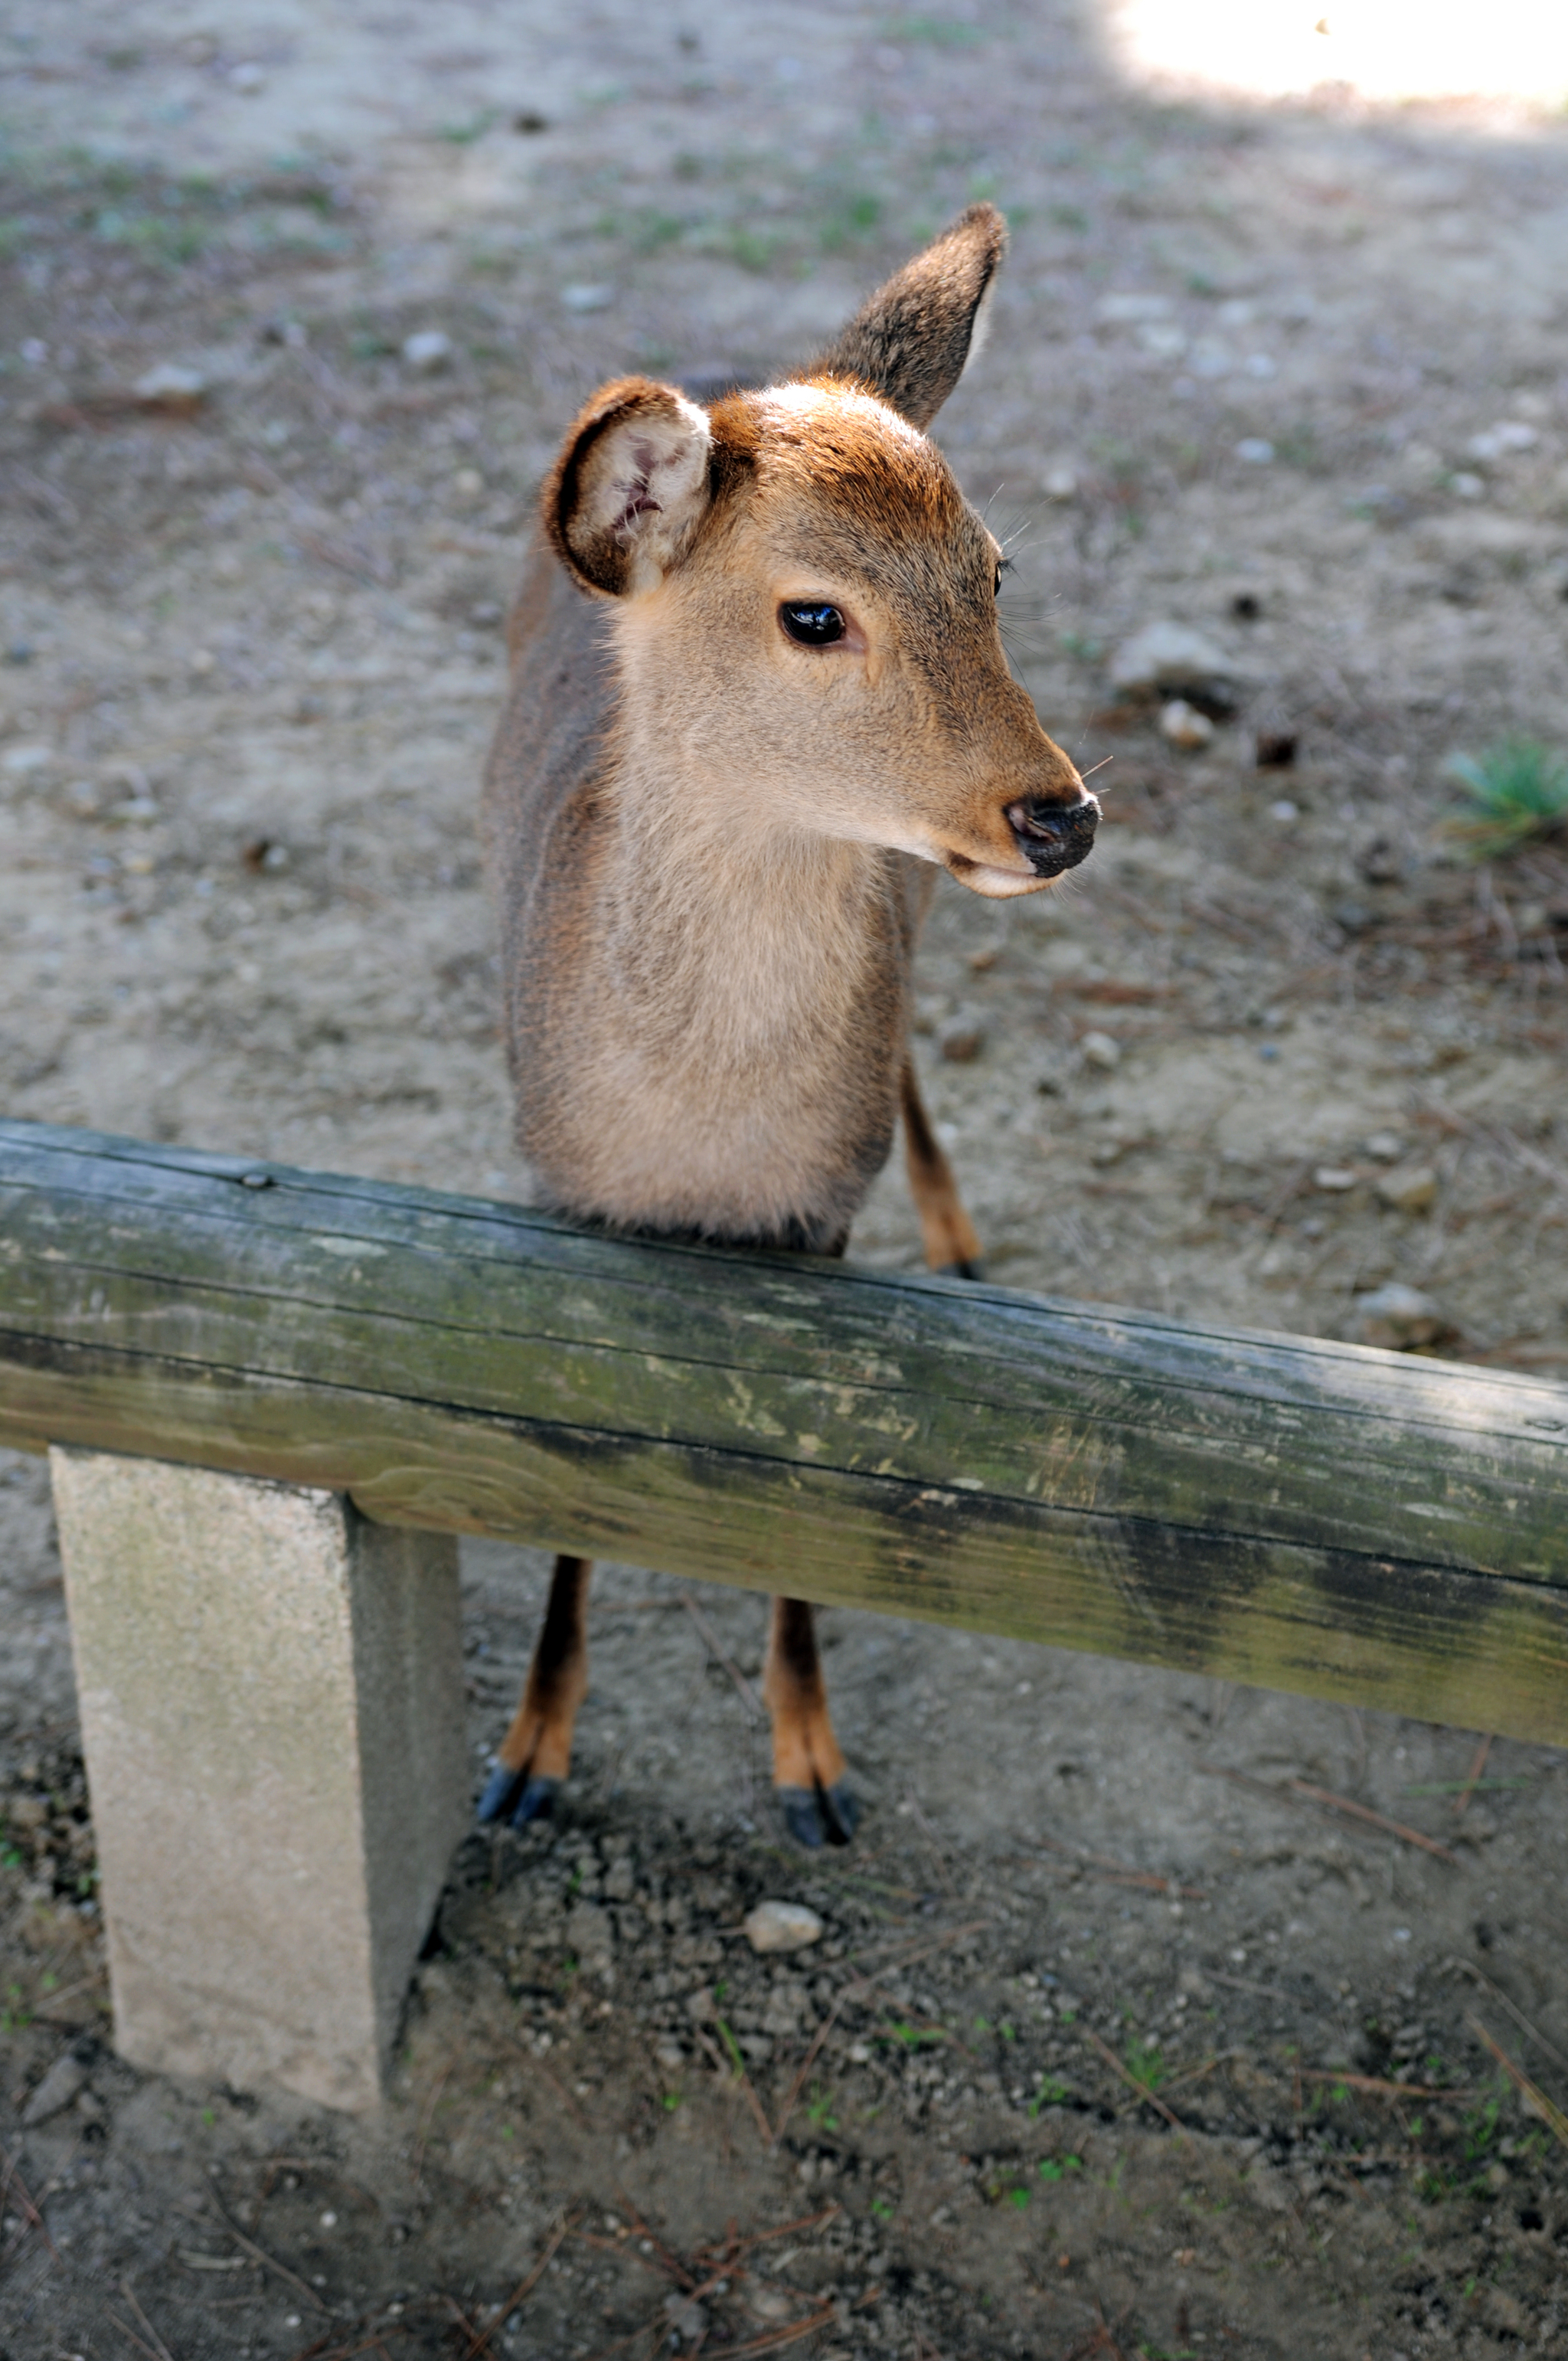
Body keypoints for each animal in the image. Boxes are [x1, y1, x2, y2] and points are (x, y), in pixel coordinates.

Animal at [477, 203, 1100, 1851]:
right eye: (813, 612)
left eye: (993, 569)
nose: (1059, 814)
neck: (697, 1139)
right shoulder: (555, 1200)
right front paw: (525, 1755)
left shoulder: (819, 1218)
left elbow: (796, 1500)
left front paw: (811, 1768)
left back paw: (957, 1231)